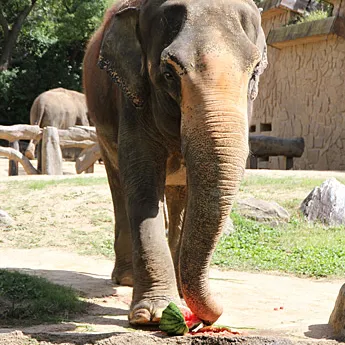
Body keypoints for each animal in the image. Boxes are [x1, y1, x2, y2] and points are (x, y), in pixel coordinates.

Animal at [82, 0, 266, 326]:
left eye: (255, 71)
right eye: (168, 73)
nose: (213, 316)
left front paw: (175, 301)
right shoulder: (132, 98)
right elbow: (142, 183)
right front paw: (152, 315)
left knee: (178, 197)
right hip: (100, 128)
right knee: (118, 184)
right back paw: (127, 279)